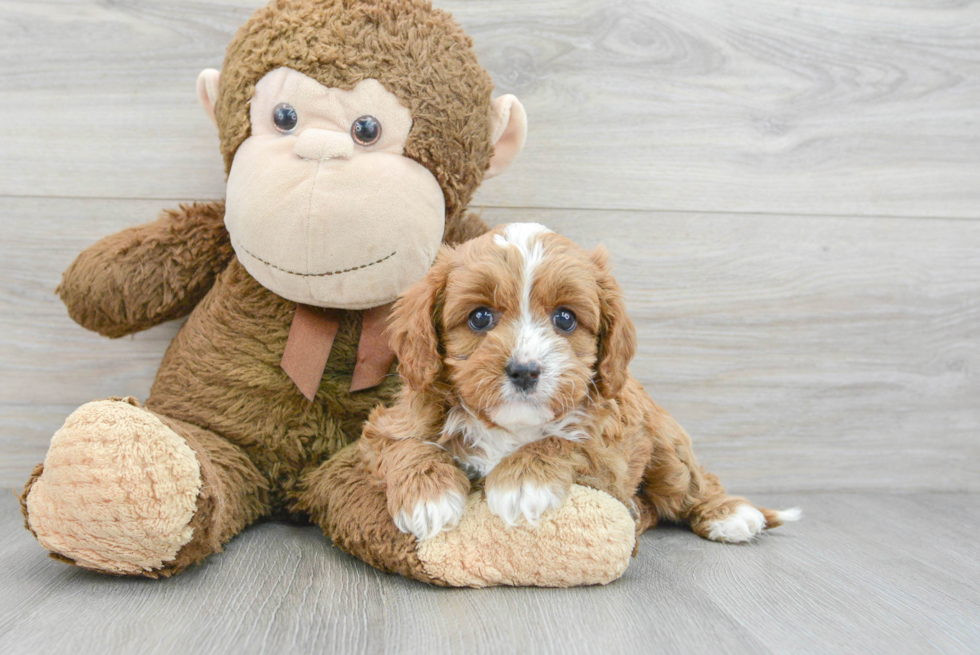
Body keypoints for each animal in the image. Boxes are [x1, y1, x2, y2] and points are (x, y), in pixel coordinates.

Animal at [356, 226, 800, 544]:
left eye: (565, 319)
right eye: (480, 317)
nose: (524, 371)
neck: (511, 428)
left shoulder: (609, 447)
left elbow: (563, 442)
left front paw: (522, 483)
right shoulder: (388, 426)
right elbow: (407, 445)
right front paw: (427, 498)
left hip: (667, 448)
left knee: (693, 483)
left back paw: (730, 514)